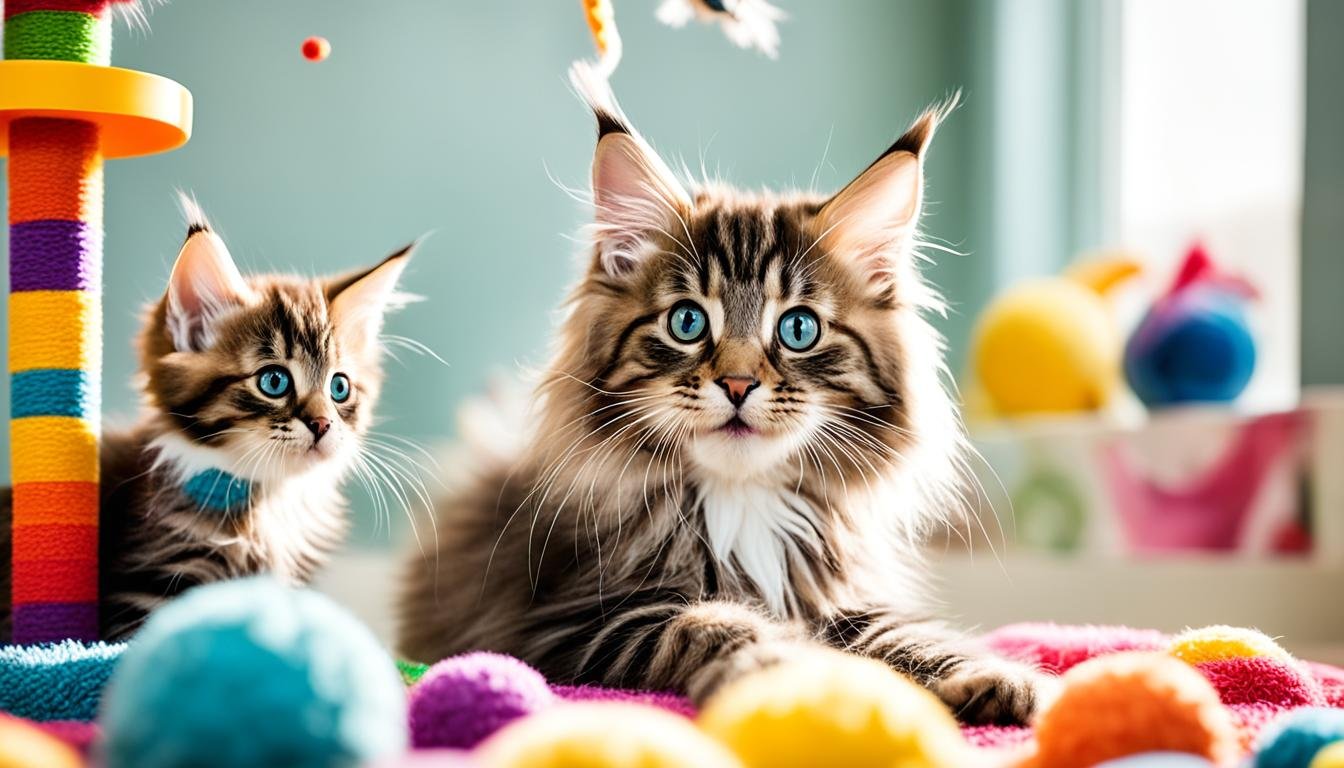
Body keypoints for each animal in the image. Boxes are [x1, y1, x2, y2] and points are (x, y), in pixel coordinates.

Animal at [397, 67, 1048, 726]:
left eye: (798, 328)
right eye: (687, 322)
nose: (737, 383)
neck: (743, 502)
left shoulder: (838, 597)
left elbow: (904, 631)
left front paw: (990, 676)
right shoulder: (575, 617)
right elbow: (711, 624)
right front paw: (783, 668)